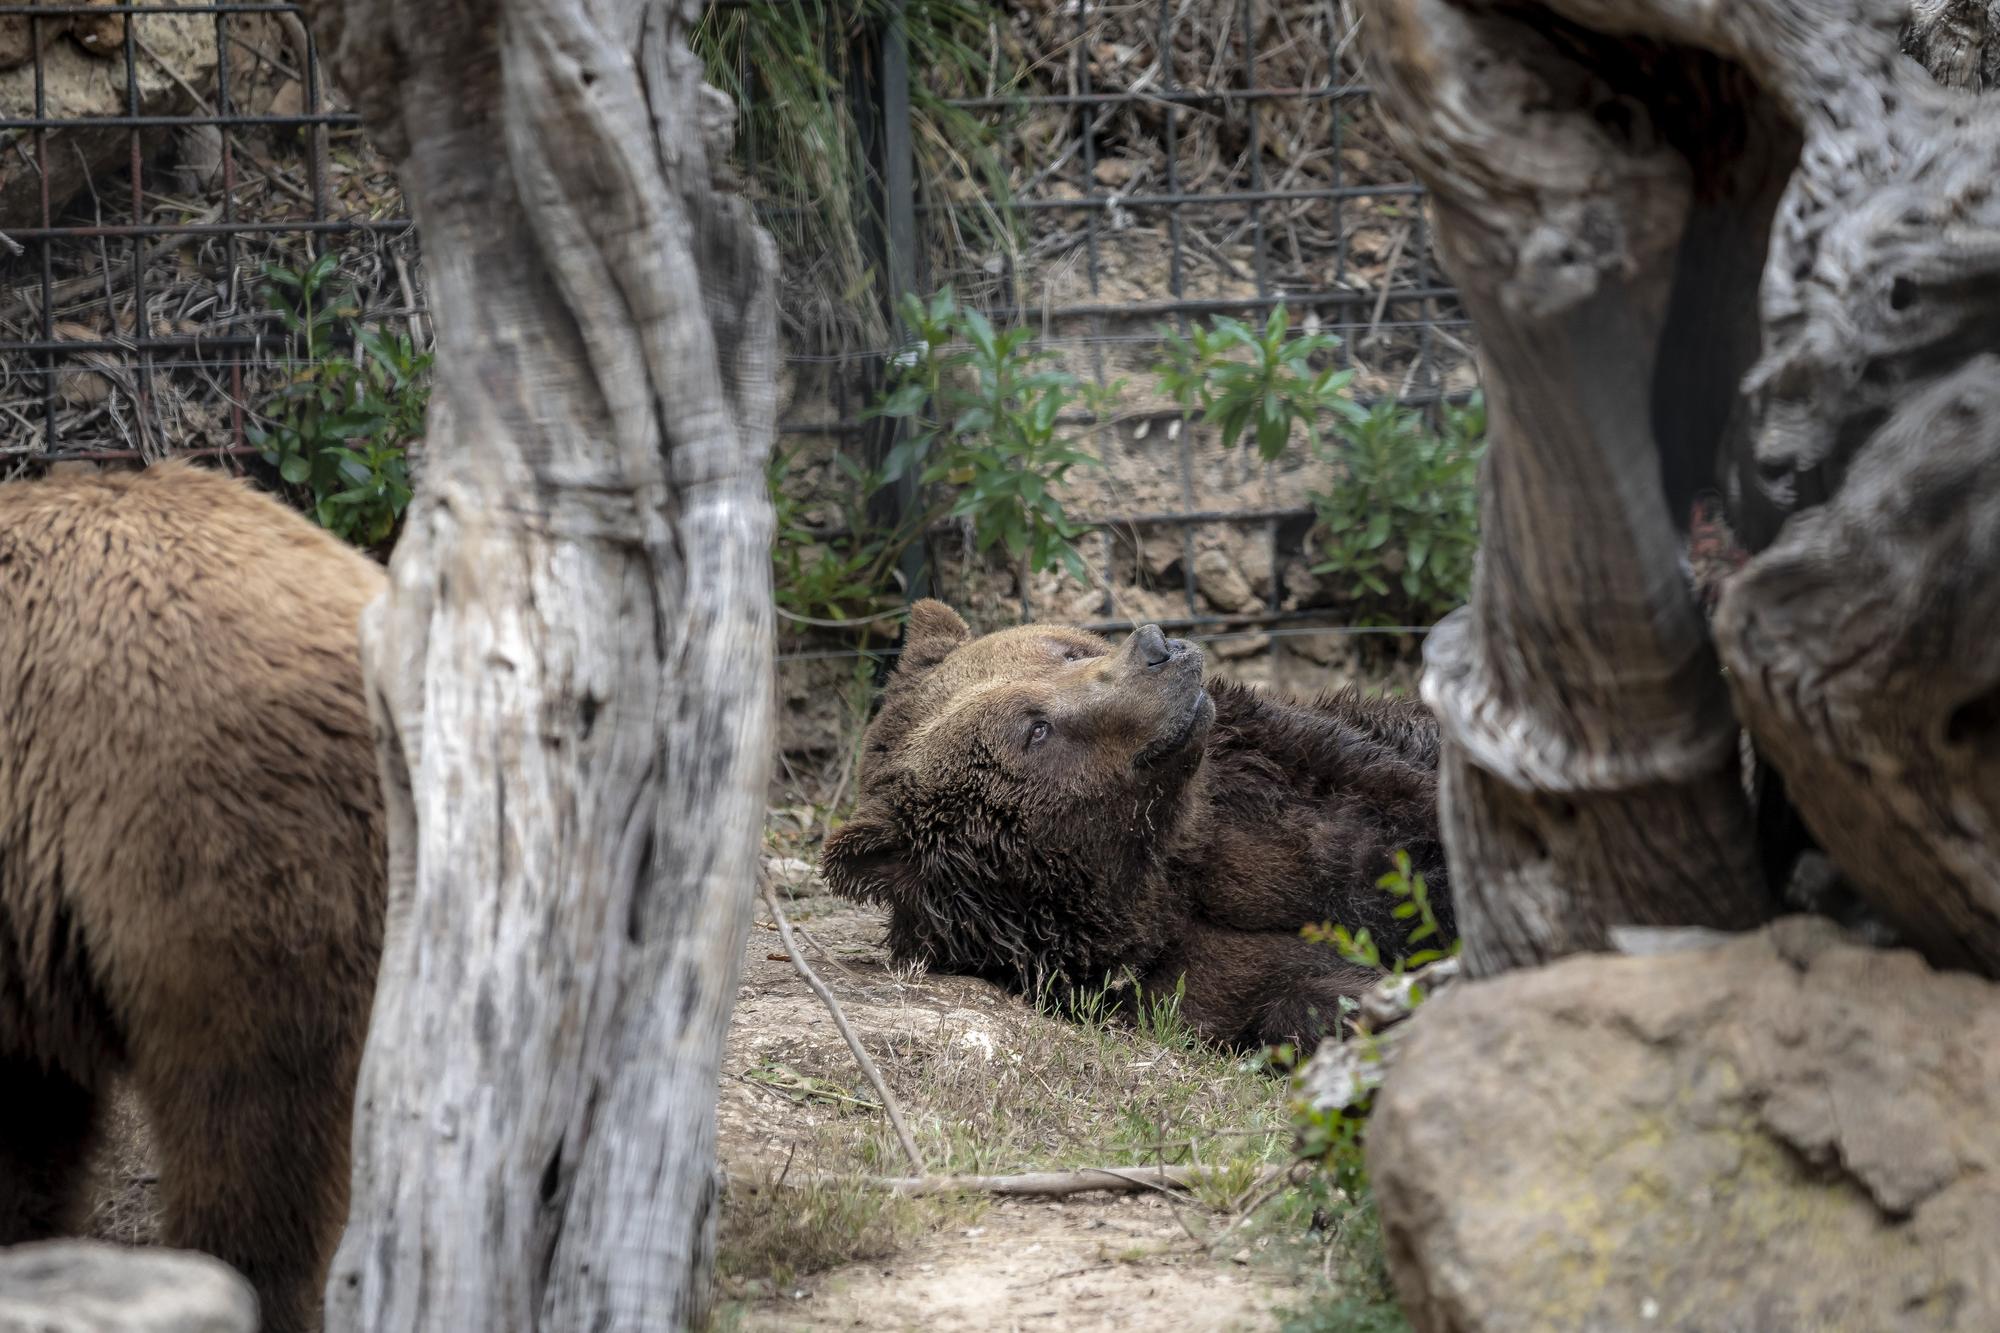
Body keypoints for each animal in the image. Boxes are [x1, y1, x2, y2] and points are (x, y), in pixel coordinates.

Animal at [820, 600, 1464, 1048]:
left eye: (1065, 650)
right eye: (1035, 729)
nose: (1156, 647)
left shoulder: (1320, 786)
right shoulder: (1190, 977)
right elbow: (1307, 993)